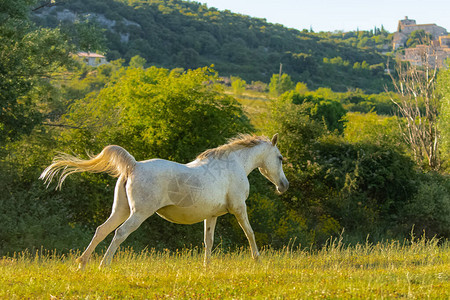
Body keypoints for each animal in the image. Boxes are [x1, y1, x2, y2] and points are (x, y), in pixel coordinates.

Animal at [40, 132, 290, 268]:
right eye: (280, 158)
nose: (284, 186)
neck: (234, 164)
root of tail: (133, 166)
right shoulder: (239, 208)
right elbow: (250, 233)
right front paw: (257, 261)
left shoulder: (211, 216)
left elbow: (208, 242)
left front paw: (206, 267)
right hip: (138, 214)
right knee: (119, 233)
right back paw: (104, 265)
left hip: (120, 210)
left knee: (102, 230)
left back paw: (82, 264)